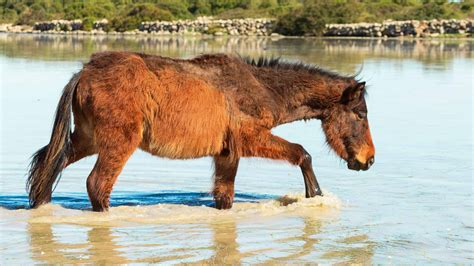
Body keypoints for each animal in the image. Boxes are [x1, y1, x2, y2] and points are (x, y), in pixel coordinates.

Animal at [25, 52, 376, 211]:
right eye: (361, 114)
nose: (369, 160)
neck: (262, 88)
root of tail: (84, 72)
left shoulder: (227, 153)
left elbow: (224, 196)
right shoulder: (251, 139)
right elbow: (302, 153)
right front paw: (314, 195)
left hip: (87, 139)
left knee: (48, 163)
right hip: (118, 142)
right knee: (97, 184)